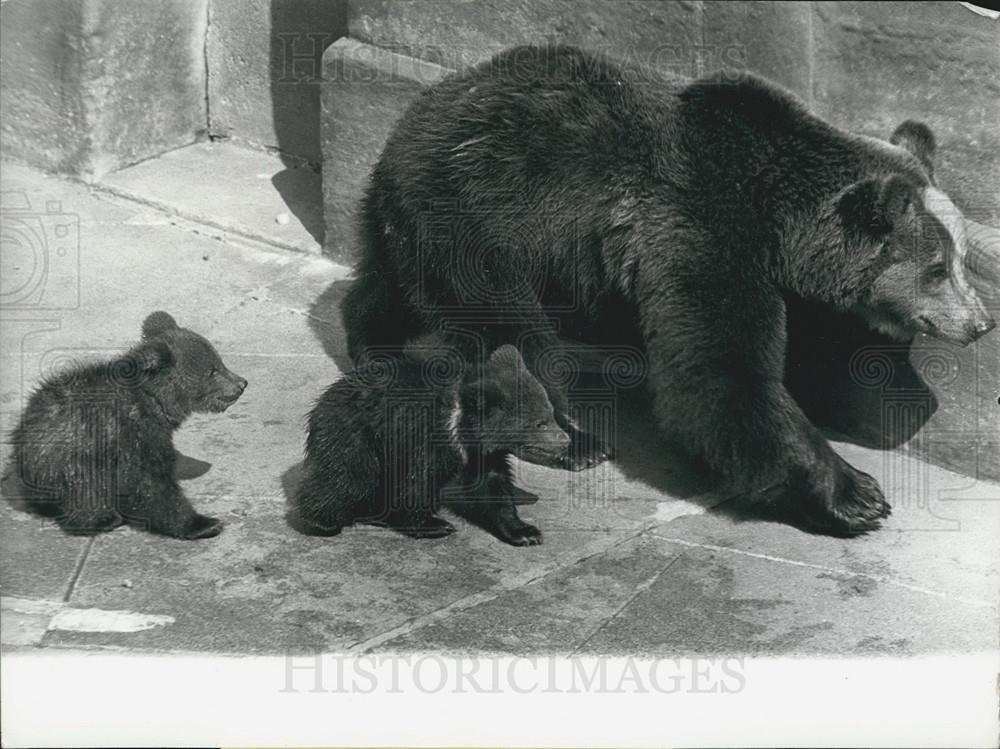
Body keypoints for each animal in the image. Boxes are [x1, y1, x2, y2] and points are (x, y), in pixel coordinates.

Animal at [342, 43, 992, 536]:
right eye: (937, 267)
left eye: (962, 258)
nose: (980, 322)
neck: (780, 222)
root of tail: (409, 120)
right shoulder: (696, 225)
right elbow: (718, 371)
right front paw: (855, 494)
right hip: (480, 221)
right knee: (510, 329)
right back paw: (577, 439)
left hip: (421, 225)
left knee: (388, 288)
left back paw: (372, 348)